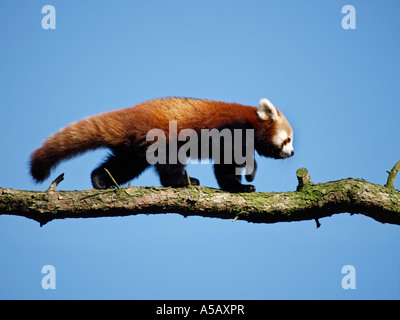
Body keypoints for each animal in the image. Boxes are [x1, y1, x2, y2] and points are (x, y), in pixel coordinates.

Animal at [30, 97, 294, 191]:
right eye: (288, 139)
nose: (291, 153)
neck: (250, 123)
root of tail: (133, 113)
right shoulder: (227, 131)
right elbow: (228, 160)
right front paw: (246, 178)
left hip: (135, 148)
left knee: (124, 165)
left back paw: (101, 180)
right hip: (161, 136)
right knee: (169, 161)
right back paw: (182, 181)